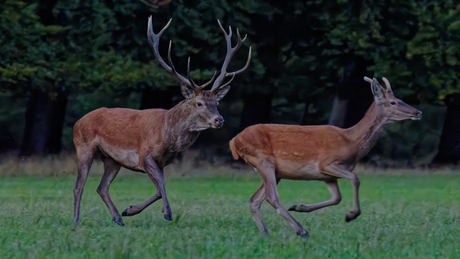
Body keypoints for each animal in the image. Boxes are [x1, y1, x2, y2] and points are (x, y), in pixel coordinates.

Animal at [72, 16, 252, 228]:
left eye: (216, 103)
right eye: (199, 103)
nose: (219, 119)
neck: (168, 138)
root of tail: (77, 122)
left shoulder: (163, 161)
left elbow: (159, 188)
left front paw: (130, 210)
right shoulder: (144, 155)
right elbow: (161, 184)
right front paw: (167, 213)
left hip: (112, 159)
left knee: (101, 187)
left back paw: (118, 218)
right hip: (84, 147)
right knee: (79, 185)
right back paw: (75, 221)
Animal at [228, 77, 422, 238]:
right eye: (393, 102)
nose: (418, 112)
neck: (350, 141)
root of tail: (234, 140)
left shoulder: (327, 176)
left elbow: (337, 198)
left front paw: (299, 206)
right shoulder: (326, 163)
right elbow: (355, 178)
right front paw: (351, 215)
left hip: (276, 172)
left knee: (254, 200)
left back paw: (266, 233)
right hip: (263, 161)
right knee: (271, 197)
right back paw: (301, 231)